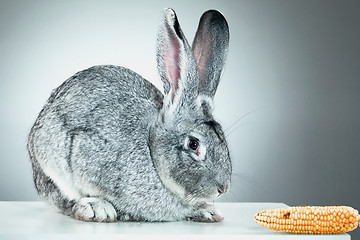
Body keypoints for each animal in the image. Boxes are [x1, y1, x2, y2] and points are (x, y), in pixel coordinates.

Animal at [27, 8, 231, 223]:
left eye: (222, 139)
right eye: (194, 144)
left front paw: (208, 211)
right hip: (50, 159)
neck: (151, 151)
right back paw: (95, 208)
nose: (222, 188)